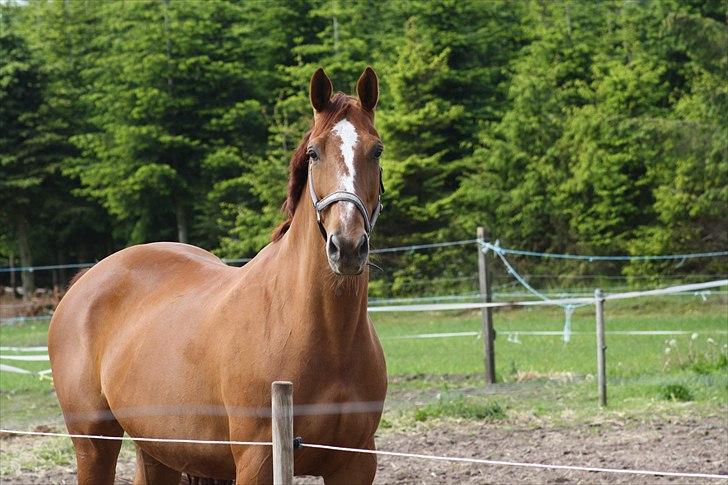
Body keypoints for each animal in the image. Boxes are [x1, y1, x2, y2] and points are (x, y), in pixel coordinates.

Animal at [47, 66, 386, 482]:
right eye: (313, 152)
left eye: (376, 150)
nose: (348, 245)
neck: (323, 335)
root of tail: (85, 281)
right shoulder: (257, 460)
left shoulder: (357, 461)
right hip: (94, 444)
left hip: (158, 449)